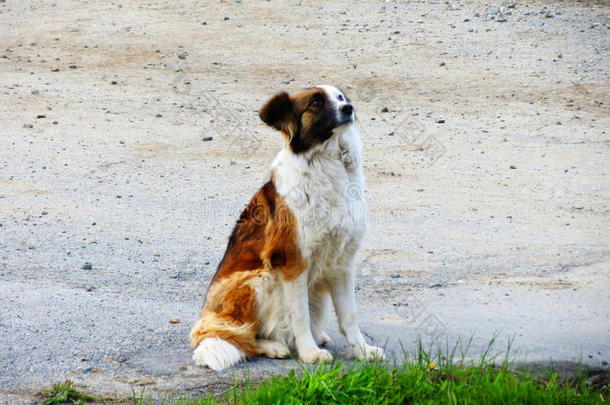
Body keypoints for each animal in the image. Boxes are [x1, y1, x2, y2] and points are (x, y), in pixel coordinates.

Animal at [188, 85, 382, 370]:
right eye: (316, 102)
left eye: (341, 98)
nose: (349, 109)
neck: (328, 162)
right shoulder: (293, 261)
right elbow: (299, 315)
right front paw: (309, 353)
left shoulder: (341, 262)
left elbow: (349, 315)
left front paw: (362, 350)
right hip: (257, 280)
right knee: (239, 335)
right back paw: (274, 346)